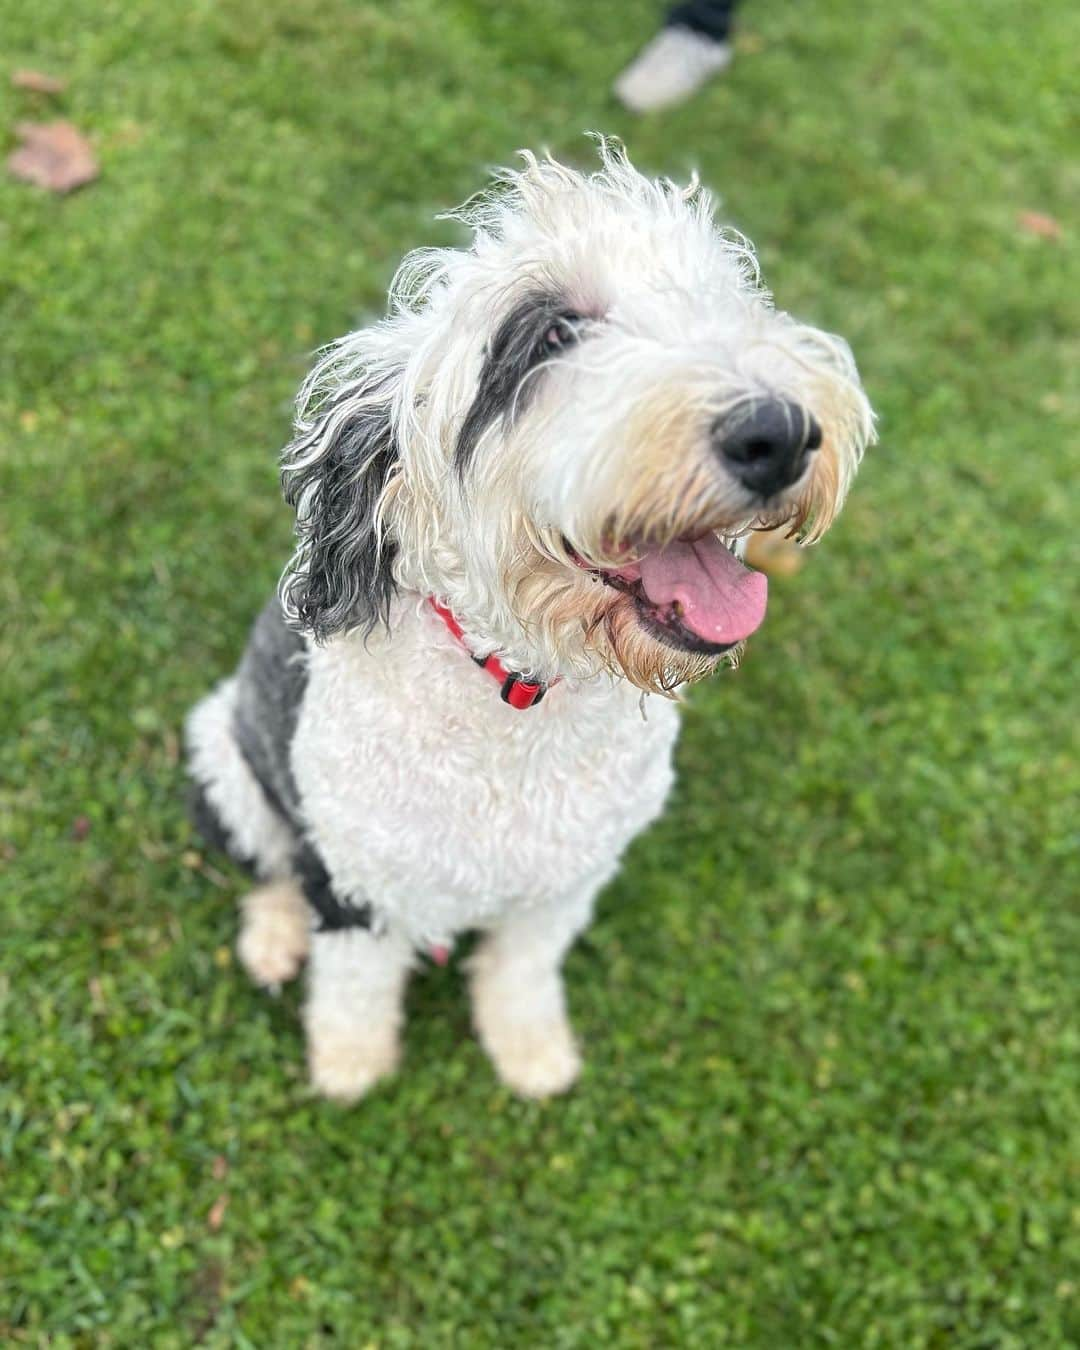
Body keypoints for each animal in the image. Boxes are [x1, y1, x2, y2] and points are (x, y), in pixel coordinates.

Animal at [187, 142, 874, 1101]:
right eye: (548, 333)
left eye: (727, 297)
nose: (777, 432)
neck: (520, 693)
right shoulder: (356, 878)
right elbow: (355, 982)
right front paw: (350, 1065)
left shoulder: (567, 880)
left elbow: (522, 969)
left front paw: (533, 1054)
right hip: (226, 759)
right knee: (273, 867)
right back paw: (274, 938)